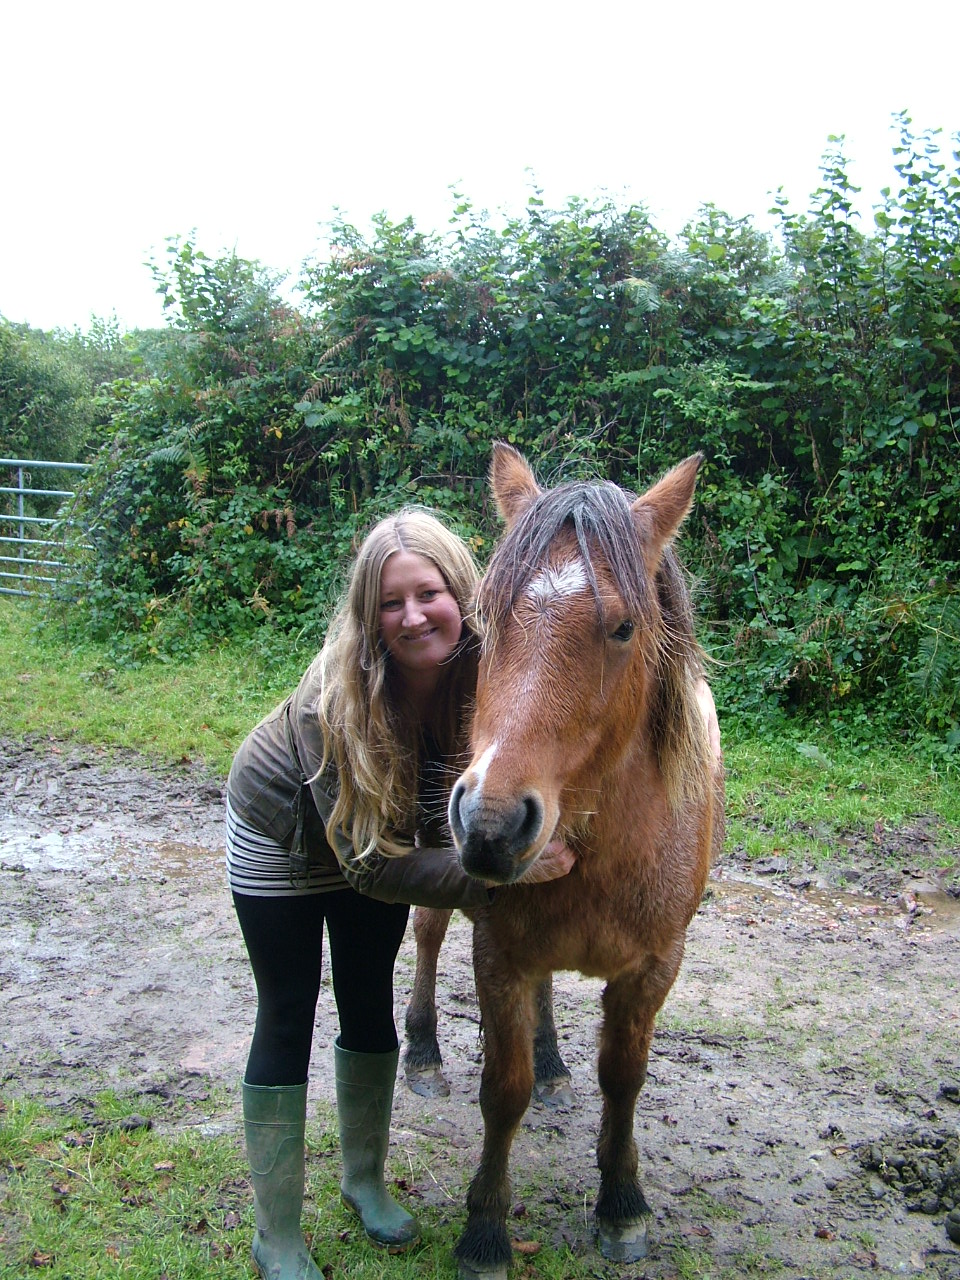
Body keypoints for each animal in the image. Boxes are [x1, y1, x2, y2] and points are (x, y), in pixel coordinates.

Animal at [424, 443, 723, 1280]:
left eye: (622, 627)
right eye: (485, 619)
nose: (491, 825)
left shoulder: (655, 966)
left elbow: (624, 1079)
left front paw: (622, 1203)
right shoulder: (496, 950)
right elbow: (503, 1090)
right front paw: (486, 1231)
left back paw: (556, 1061)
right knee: (424, 939)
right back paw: (421, 1052)